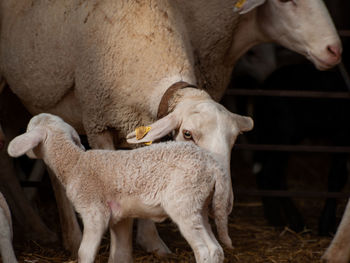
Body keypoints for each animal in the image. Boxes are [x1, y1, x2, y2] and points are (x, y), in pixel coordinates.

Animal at [6, 114, 234, 263]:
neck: (74, 164)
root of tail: (214, 166)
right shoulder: (120, 217)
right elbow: (119, 254)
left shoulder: (94, 211)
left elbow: (84, 253)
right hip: (200, 205)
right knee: (216, 250)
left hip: (184, 202)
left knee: (206, 250)